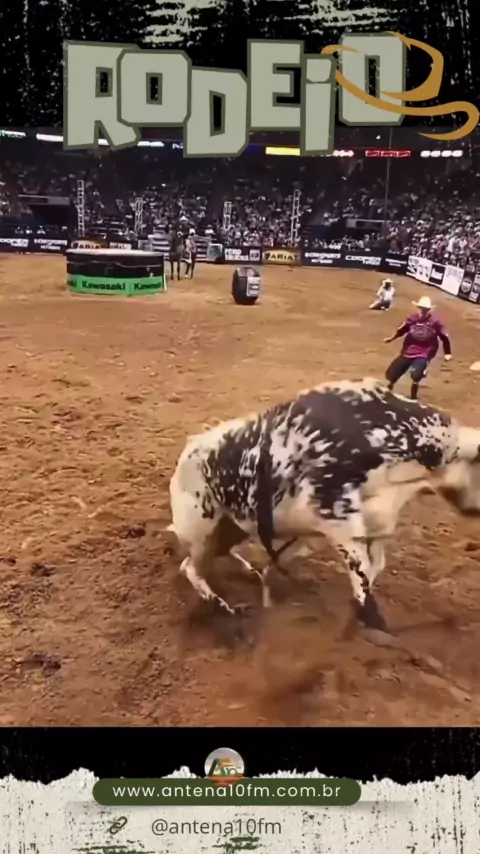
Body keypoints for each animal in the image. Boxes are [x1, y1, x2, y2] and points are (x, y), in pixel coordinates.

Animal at [168, 378, 480, 630]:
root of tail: (188, 450)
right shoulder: (339, 520)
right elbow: (361, 574)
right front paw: (370, 619)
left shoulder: (375, 522)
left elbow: (374, 566)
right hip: (201, 529)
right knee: (189, 568)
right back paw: (220, 605)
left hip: (231, 526)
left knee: (209, 558)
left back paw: (246, 573)